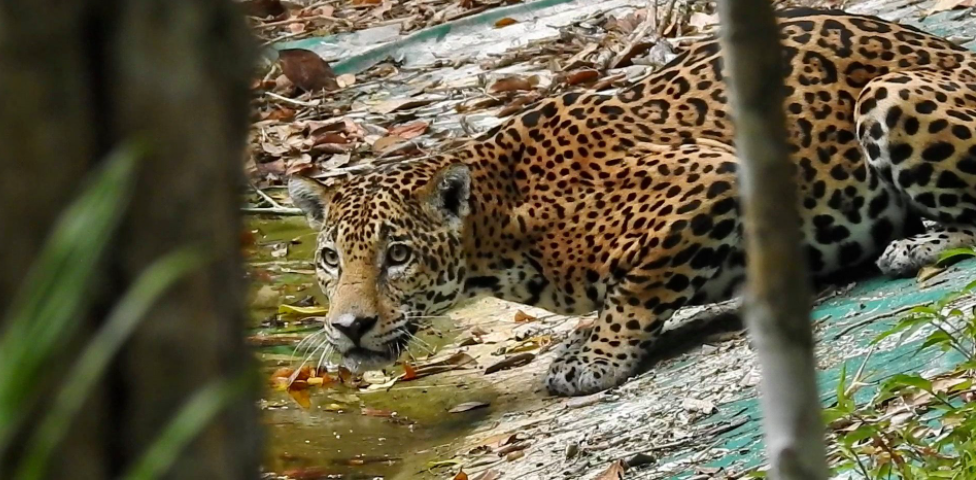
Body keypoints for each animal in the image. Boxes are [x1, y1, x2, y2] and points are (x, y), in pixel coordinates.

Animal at [288, 7, 976, 397]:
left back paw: (916, 246)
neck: (501, 226)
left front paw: (596, 360)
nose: (348, 328)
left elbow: (635, 289)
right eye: (330, 259)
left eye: (398, 255)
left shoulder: (711, 176)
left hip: (888, 94)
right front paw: (580, 342)